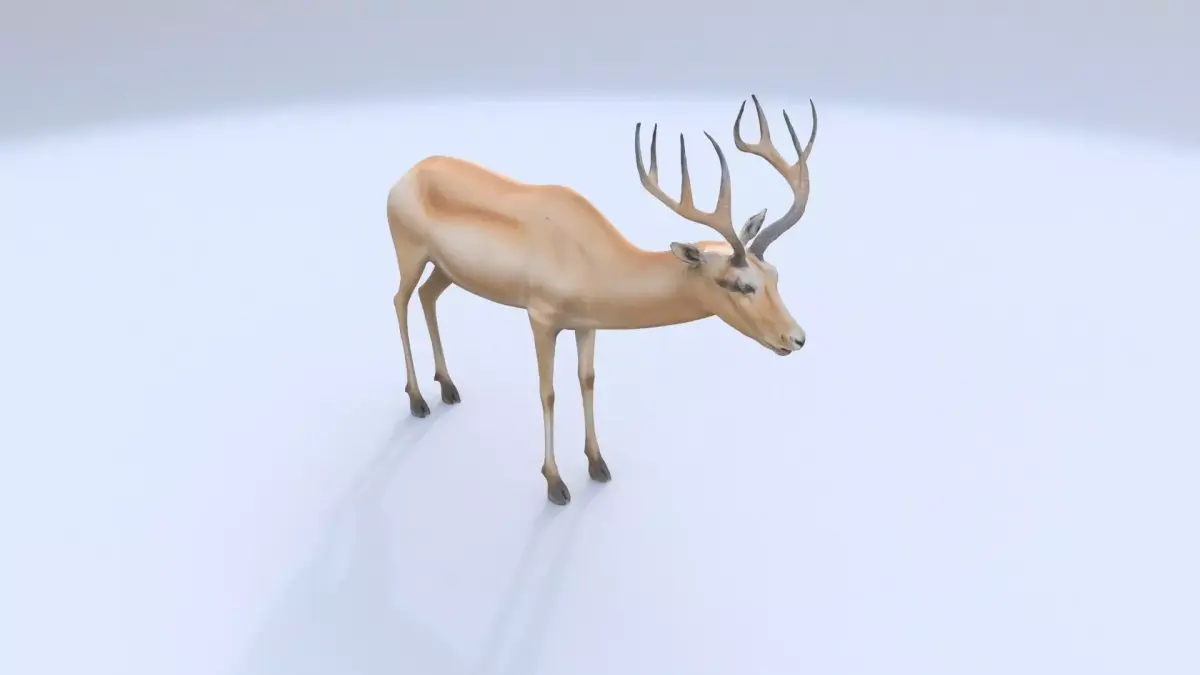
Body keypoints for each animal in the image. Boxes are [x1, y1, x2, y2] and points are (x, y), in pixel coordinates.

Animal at [385, 95, 817, 505]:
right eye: (738, 283)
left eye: (774, 275)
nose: (796, 338)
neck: (592, 256)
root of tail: (409, 174)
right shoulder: (541, 319)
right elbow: (548, 392)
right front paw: (555, 483)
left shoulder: (586, 324)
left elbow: (587, 380)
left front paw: (597, 465)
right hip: (411, 256)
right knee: (399, 301)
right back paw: (418, 400)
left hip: (445, 269)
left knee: (427, 297)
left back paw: (448, 387)